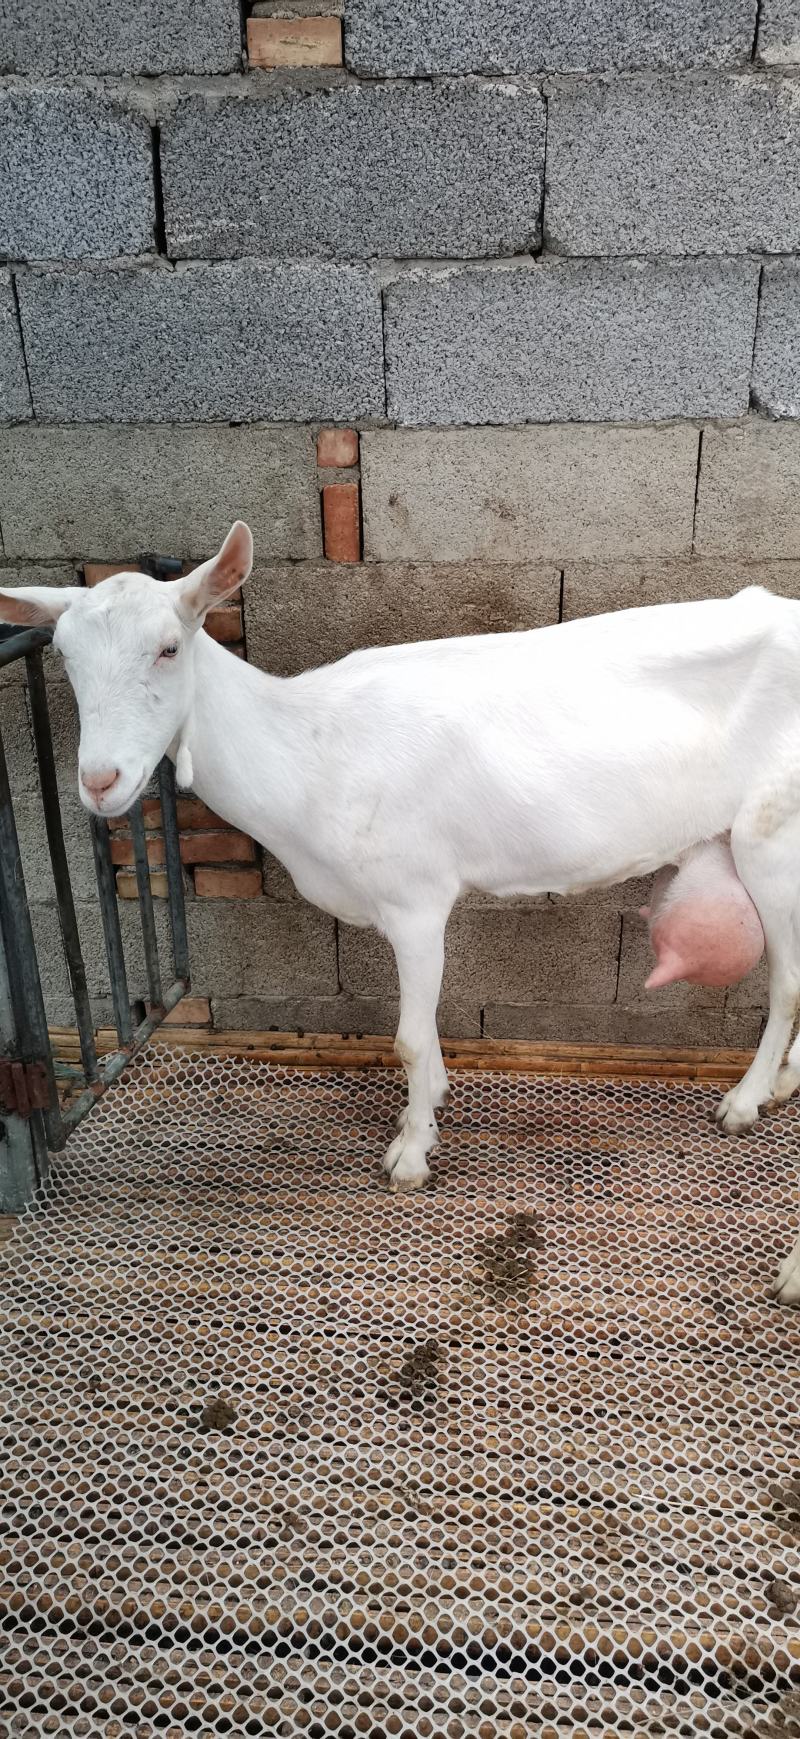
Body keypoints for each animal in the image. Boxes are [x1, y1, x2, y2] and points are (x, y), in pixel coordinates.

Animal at [1, 520, 798, 1304]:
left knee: (787, 983)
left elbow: (410, 1039)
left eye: (169, 647)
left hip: (773, 837)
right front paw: (434, 1103)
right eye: (66, 657)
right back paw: (782, 1082)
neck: (310, 750)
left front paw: (411, 1152)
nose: (101, 781)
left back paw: (744, 1101)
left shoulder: (416, 898)